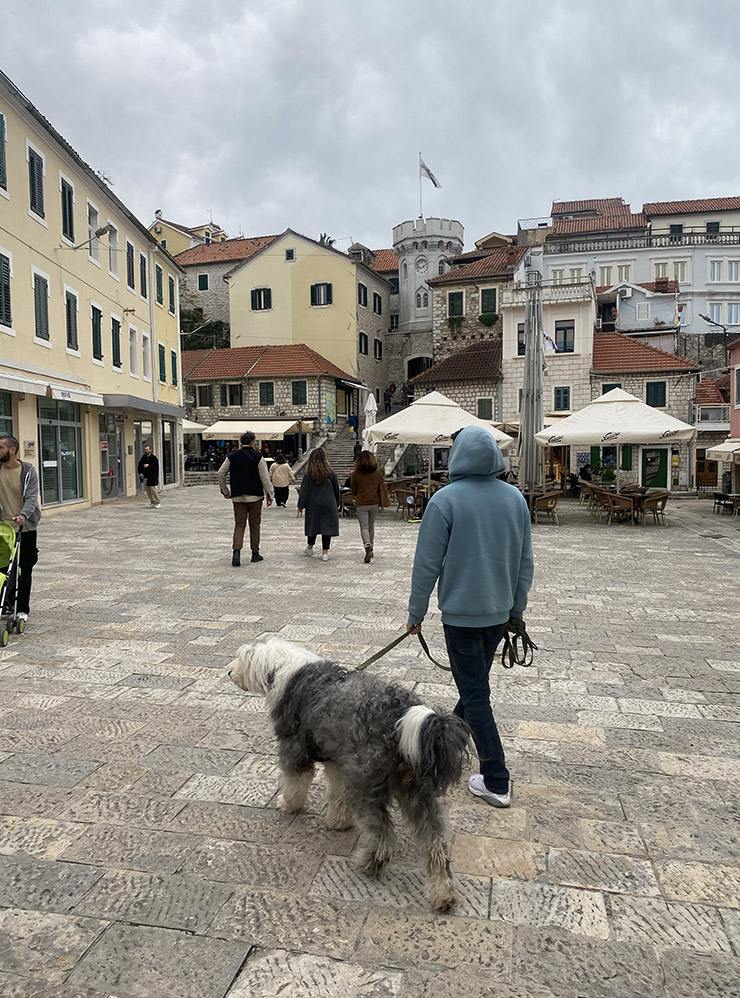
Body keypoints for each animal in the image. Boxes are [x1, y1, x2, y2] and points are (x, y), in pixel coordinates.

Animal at [228, 636, 468, 912]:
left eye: (242, 658)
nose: (229, 672)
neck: (284, 668)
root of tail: (400, 715)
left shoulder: (295, 748)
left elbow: (295, 781)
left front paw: (288, 804)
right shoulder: (336, 757)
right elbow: (336, 790)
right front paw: (339, 821)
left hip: (366, 784)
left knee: (383, 833)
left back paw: (369, 864)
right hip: (417, 789)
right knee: (435, 841)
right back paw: (443, 894)